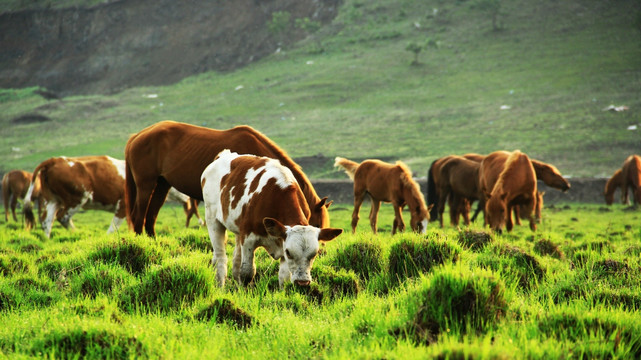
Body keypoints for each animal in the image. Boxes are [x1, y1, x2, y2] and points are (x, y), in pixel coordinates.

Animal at [124, 121, 330, 239]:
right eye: (316, 225)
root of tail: (137, 136)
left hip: (162, 185)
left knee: (151, 216)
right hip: (146, 185)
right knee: (139, 215)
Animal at [201, 150, 342, 288]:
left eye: (315, 253)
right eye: (289, 252)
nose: (302, 282)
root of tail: (223, 155)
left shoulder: (281, 240)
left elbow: (284, 278)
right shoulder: (248, 239)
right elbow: (247, 273)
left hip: (237, 228)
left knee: (236, 258)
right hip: (212, 219)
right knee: (220, 257)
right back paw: (220, 286)